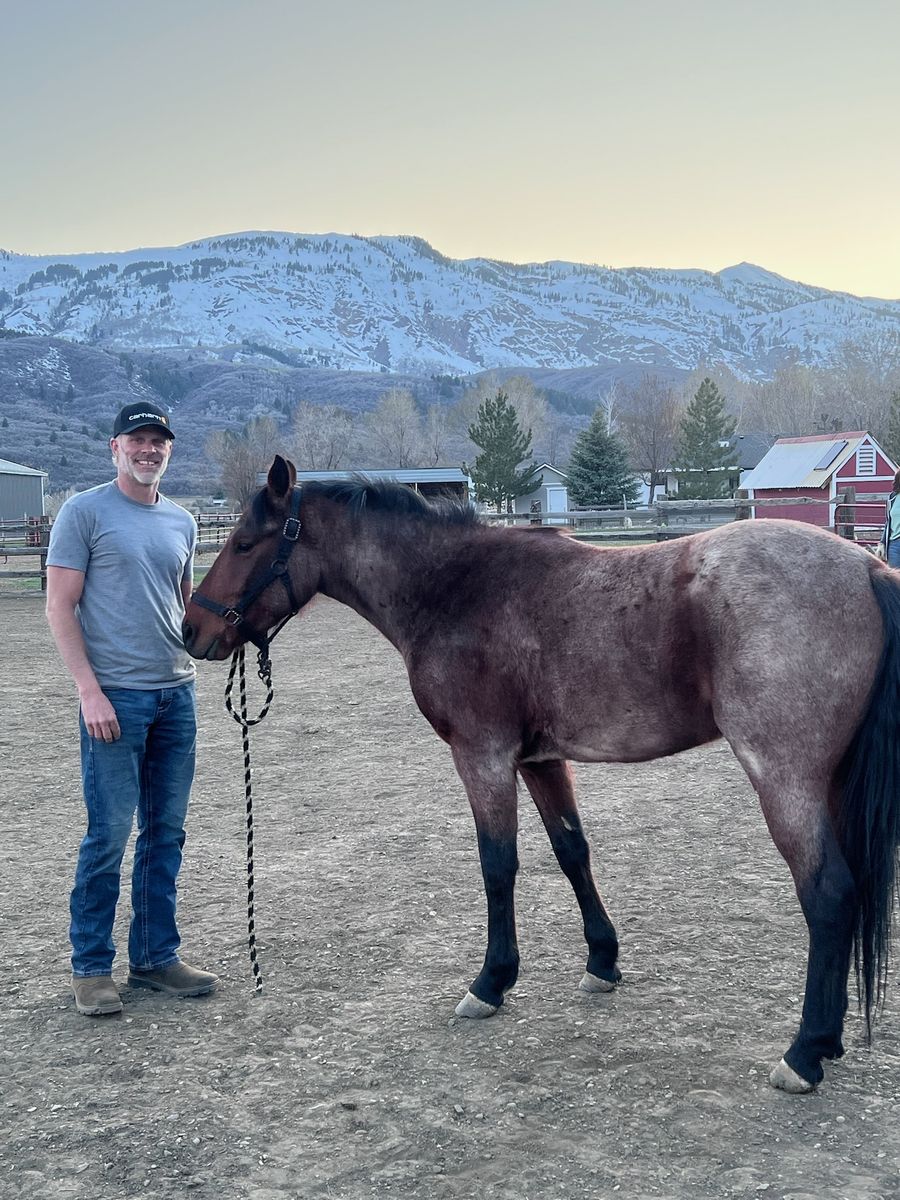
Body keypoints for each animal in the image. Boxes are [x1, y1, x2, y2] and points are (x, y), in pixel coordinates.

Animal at [183, 456, 900, 1094]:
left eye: (244, 542)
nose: (192, 629)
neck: (455, 587)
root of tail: (866, 567)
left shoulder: (482, 756)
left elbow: (498, 866)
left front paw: (491, 982)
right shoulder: (540, 760)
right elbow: (571, 851)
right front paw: (602, 961)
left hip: (783, 779)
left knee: (829, 894)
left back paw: (805, 1052)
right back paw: (827, 1040)